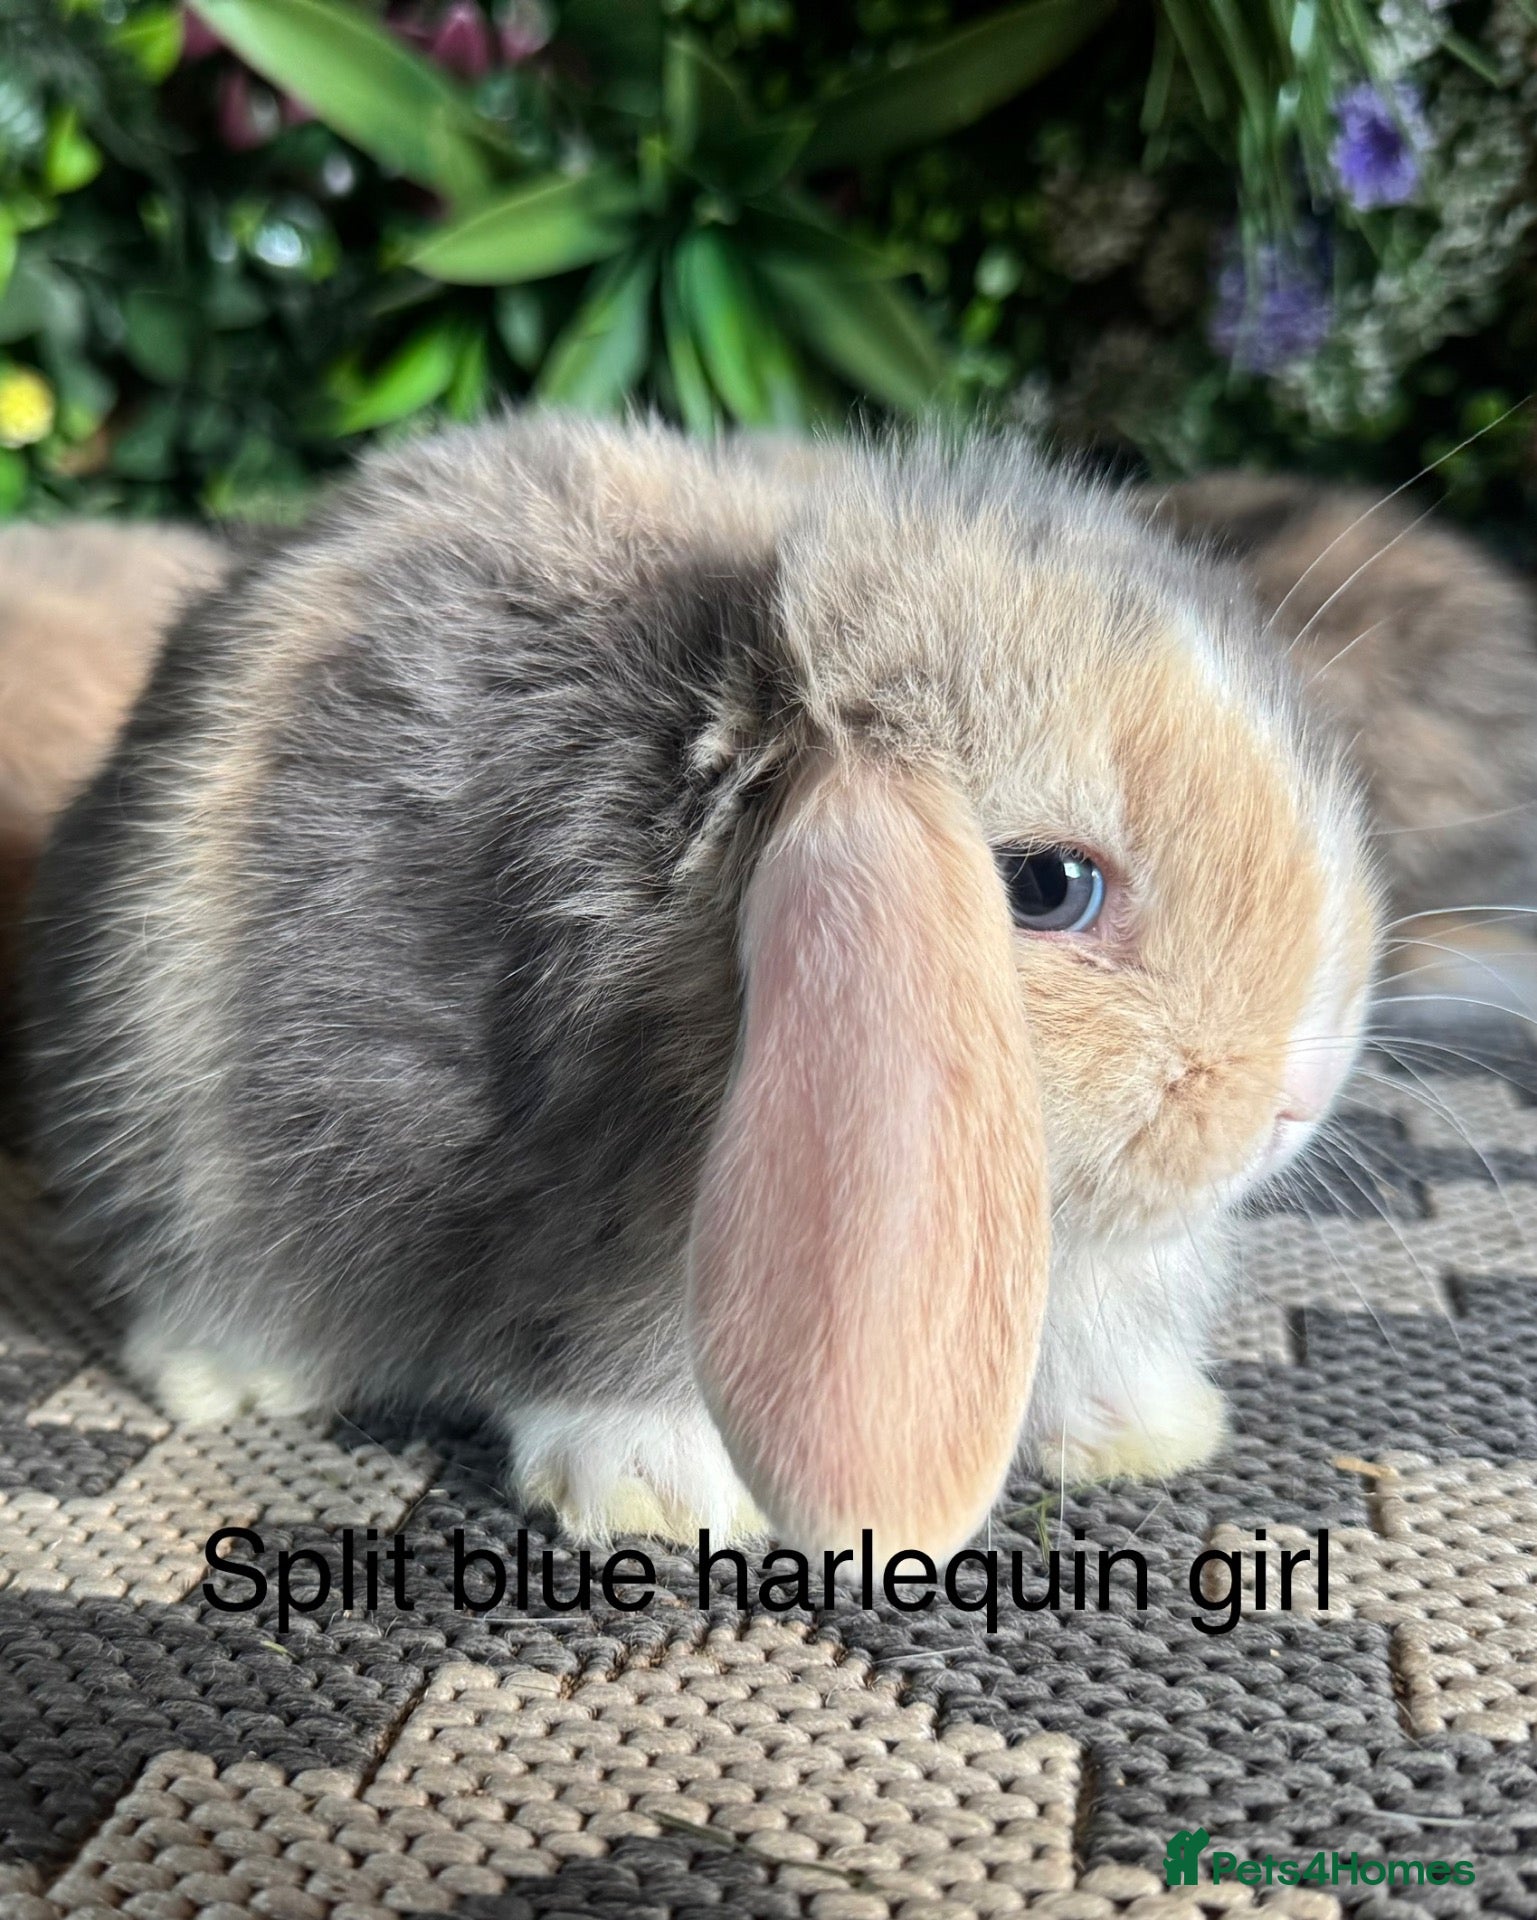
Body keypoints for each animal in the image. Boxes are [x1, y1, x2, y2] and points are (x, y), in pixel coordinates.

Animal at [23, 416, 1379, 1561]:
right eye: (1048, 887)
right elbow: (605, 1352)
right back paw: (229, 1376)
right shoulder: (587, 1203)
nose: (1298, 1099)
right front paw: (659, 1499)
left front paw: (1144, 1433)